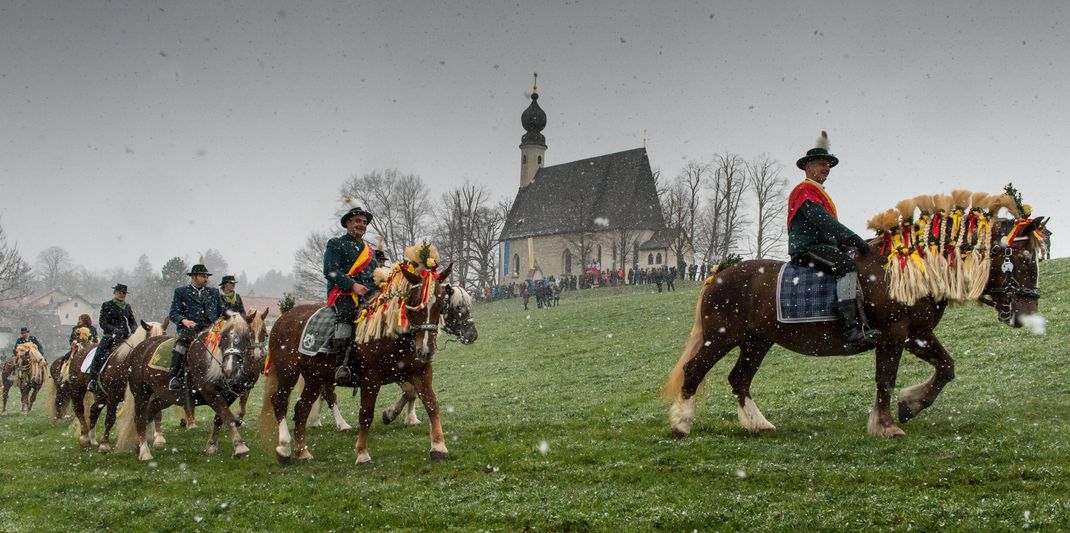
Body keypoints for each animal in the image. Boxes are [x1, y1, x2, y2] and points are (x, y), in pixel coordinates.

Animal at [115, 310, 267, 460]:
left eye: (246, 336)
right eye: (223, 336)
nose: (230, 369)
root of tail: (139, 348)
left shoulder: (229, 395)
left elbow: (220, 418)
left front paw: (212, 445)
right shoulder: (210, 391)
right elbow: (227, 416)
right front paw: (240, 447)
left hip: (164, 396)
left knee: (150, 412)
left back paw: (139, 445)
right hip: (141, 392)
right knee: (139, 419)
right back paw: (145, 452)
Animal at [258, 241, 477, 462]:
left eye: (441, 303)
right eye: (414, 302)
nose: (472, 334)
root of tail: (281, 319)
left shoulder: (420, 372)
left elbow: (431, 404)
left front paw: (438, 446)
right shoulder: (371, 378)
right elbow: (366, 414)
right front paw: (363, 453)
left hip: (315, 377)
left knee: (302, 408)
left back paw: (303, 452)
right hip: (288, 372)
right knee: (280, 402)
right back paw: (284, 448)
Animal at [663, 187, 1048, 436]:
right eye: (1024, 259)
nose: (1026, 312)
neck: (908, 269)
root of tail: (718, 273)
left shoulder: (918, 335)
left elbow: (946, 367)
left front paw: (911, 405)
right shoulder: (894, 333)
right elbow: (885, 378)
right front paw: (886, 424)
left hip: (757, 340)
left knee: (739, 378)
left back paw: (758, 424)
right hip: (721, 336)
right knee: (695, 370)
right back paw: (681, 423)